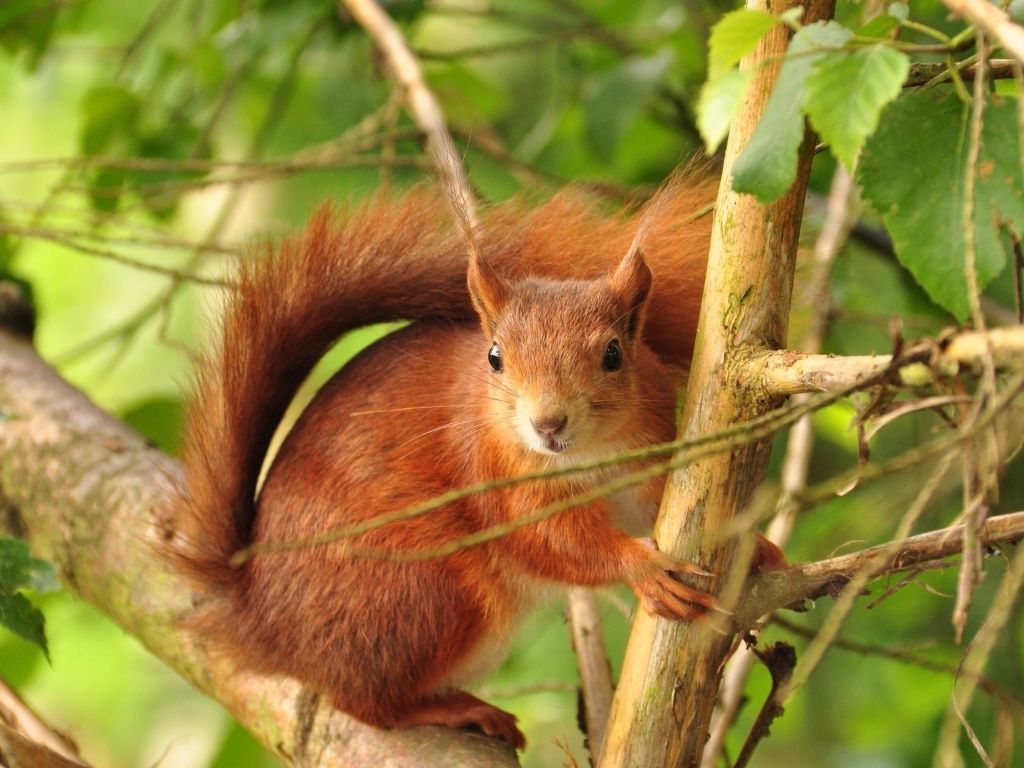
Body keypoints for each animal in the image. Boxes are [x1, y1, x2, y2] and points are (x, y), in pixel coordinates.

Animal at [172, 176, 729, 753]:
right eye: (495, 357)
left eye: (614, 354)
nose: (548, 423)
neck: (589, 454)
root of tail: (262, 622)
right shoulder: (494, 474)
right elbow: (551, 540)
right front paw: (642, 568)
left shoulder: (647, 455)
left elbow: (661, 502)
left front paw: (752, 545)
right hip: (424, 590)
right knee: (364, 703)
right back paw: (456, 709)